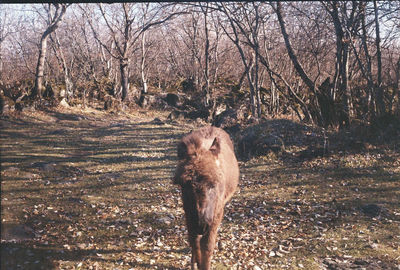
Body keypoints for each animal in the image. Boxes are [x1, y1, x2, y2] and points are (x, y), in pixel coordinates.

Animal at [173, 126, 239, 270]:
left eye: (214, 184)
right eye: (184, 184)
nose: (202, 224)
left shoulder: (217, 212)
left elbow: (207, 245)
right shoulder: (188, 213)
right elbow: (194, 242)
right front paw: (195, 263)